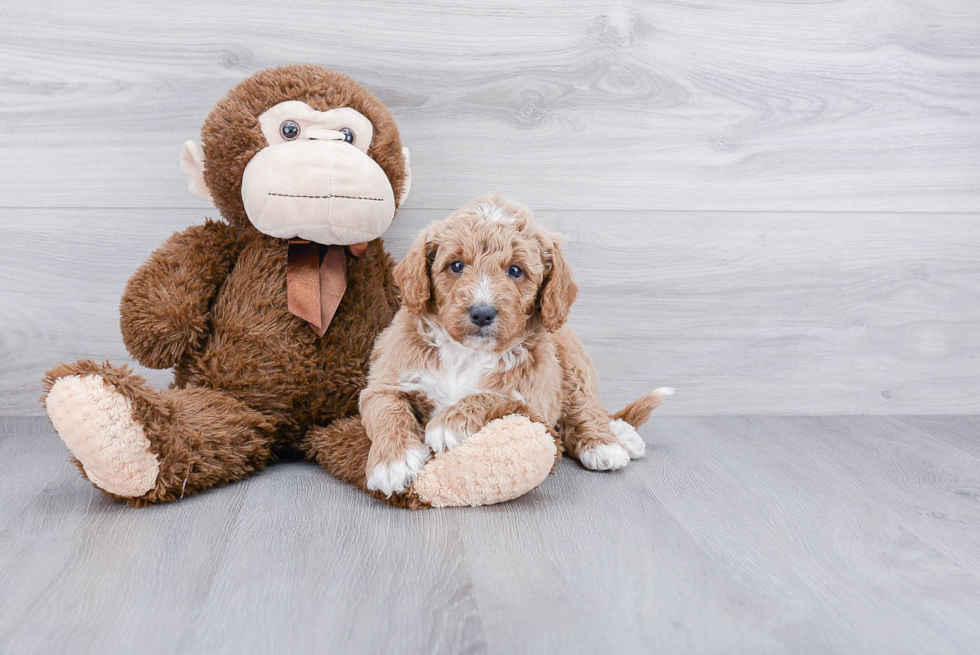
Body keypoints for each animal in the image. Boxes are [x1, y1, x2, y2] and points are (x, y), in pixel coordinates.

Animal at [362, 195, 672, 498]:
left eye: (515, 271)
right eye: (456, 265)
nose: (482, 313)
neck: (468, 353)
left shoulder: (533, 398)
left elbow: (494, 396)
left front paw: (448, 423)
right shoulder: (385, 382)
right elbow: (387, 410)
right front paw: (393, 462)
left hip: (574, 363)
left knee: (586, 409)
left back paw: (608, 443)